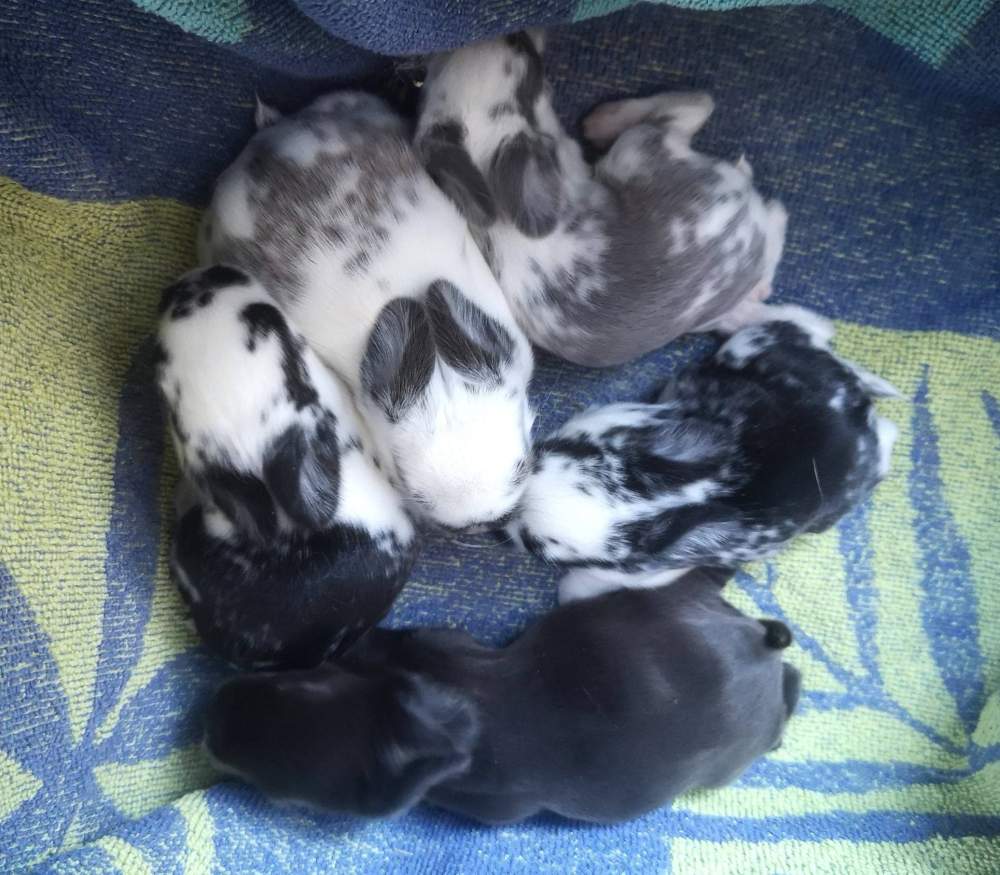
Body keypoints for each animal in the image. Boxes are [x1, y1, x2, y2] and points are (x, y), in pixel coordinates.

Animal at [414, 32, 790, 368]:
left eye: (425, 80)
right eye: (520, 47)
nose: (509, 31)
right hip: (638, 147)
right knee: (703, 111)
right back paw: (606, 119)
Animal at [507, 306, 901, 604]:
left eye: (535, 545)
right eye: (542, 455)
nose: (502, 521)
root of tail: (855, 396)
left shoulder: (645, 576)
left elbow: (585, 584)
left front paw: (568, 591)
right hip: (753, 346)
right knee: (809, 325)